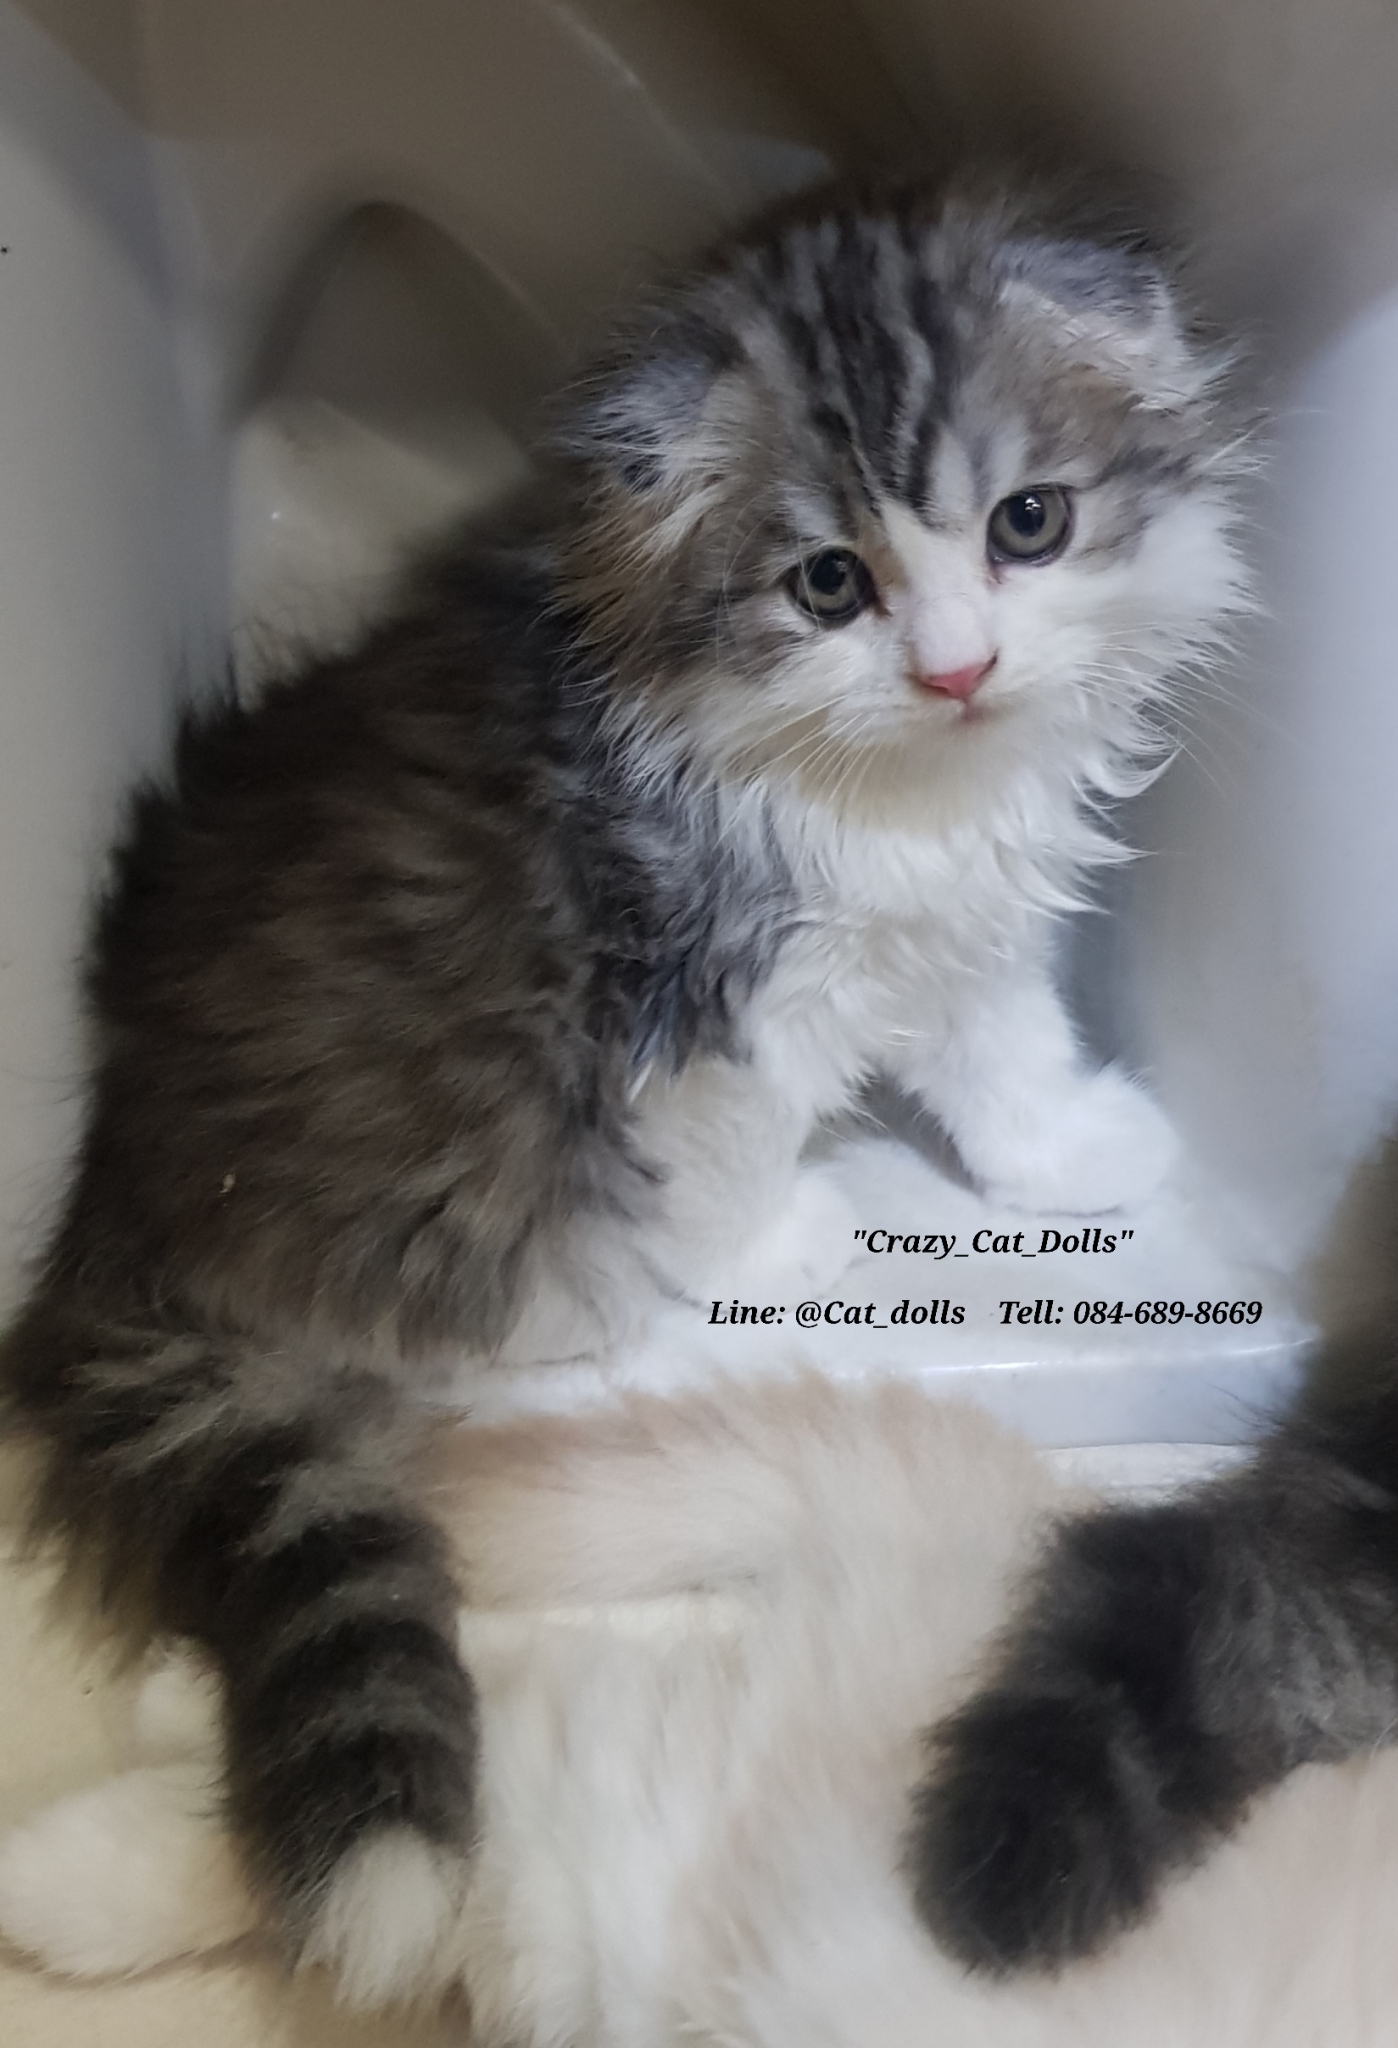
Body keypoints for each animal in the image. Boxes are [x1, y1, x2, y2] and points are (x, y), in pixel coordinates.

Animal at [0, 176, 1247, 1999]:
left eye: (1028, 523)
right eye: (824, 583)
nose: (954, 669)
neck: (892, 786)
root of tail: (118, 1188)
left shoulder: (952, 924)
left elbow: (996, 1040)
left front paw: (1071, 1145)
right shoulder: (705, 988)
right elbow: (732, 1147)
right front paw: (782, 1243)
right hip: (461, 1190)